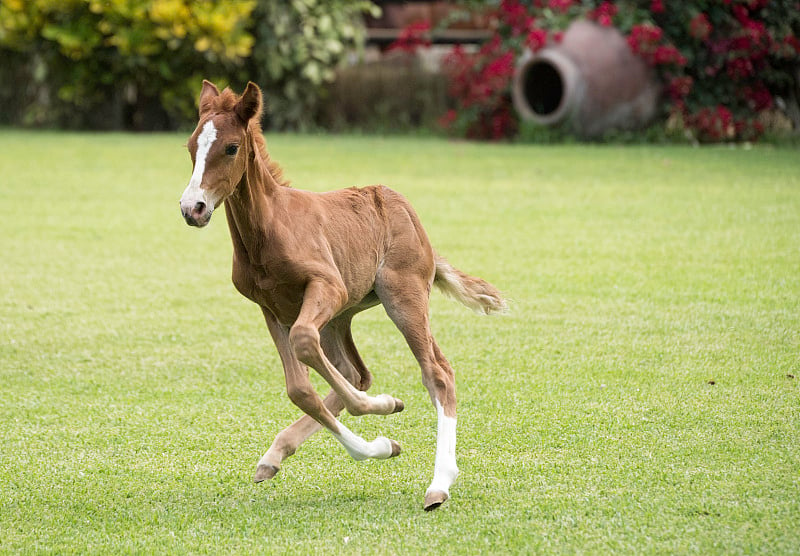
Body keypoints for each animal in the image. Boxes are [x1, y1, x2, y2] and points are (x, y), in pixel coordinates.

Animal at [180, 80, 506, 510]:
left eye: (231, 147)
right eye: (191, 145)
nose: (193, 208)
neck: (269, 229)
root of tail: (409, 213)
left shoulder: (326, 288)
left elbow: (306, 347)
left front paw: (384, 410)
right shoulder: (273, 309)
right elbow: (300, 389)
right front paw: (383, 439)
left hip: (401, 297)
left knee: (436, 372)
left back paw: (439, 483)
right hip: (340, 317)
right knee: (356, 373)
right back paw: (277, 454)